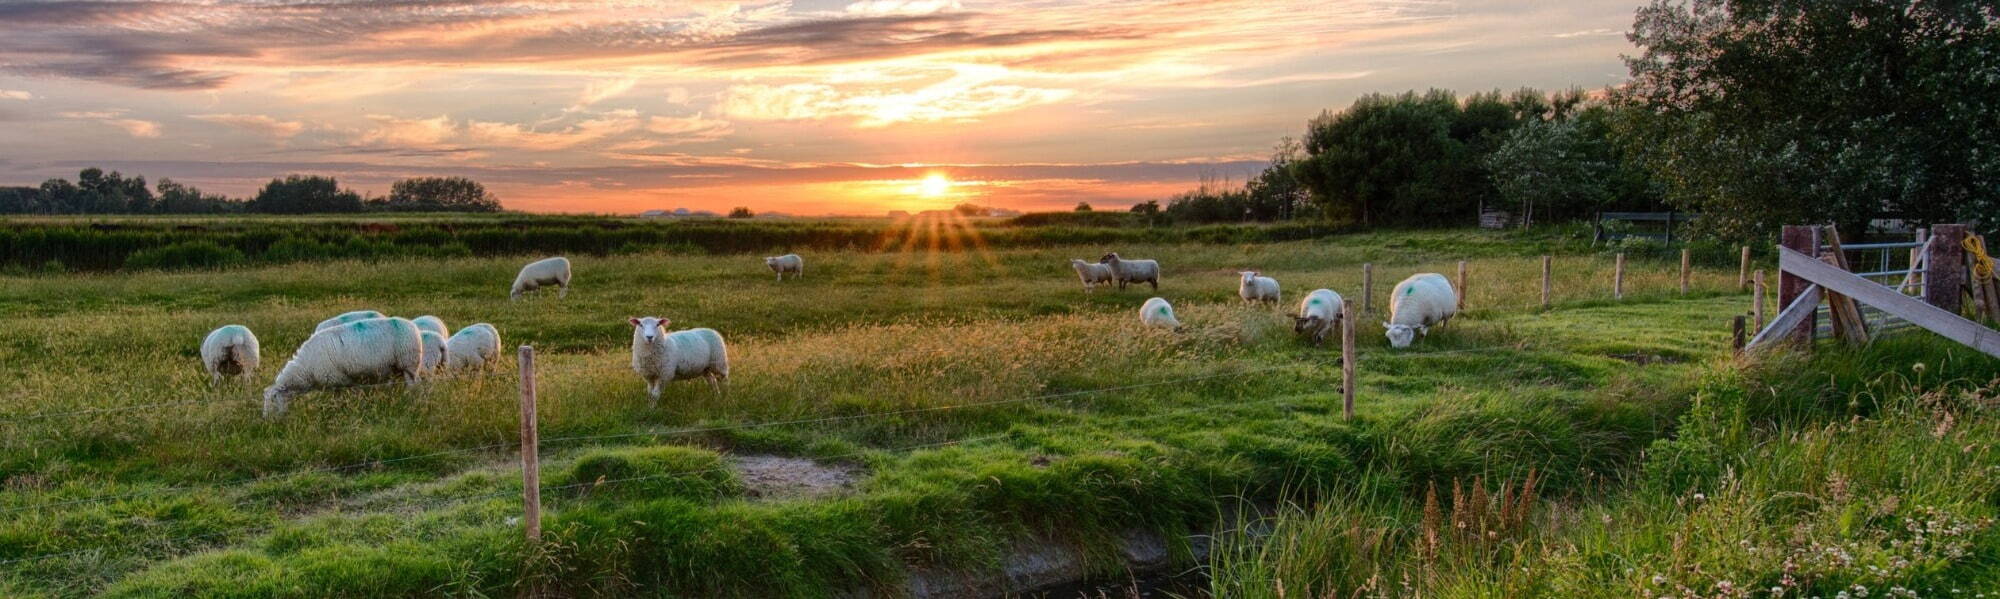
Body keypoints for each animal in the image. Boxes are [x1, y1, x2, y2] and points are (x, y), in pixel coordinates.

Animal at [262, 315, 426, 419]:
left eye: (273, 400)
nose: (265, 419)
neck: (306, 369)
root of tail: (413, 326)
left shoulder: (338, 380)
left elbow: (341, 399)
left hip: (409, 364)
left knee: (414, 385)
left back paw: (411, 400)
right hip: (397, 368)